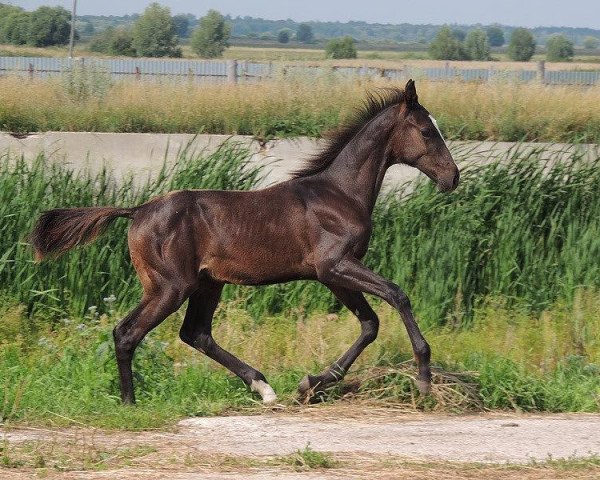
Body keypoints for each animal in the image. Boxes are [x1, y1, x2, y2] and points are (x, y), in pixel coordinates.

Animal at [29, 79, 460, 404]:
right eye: (427, 131)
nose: (453, 177)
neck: (339, 194)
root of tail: (137, 211)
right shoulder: (334, 266)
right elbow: (397, 295)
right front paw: (424, 377)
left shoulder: (333, 275)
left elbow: (369, 324)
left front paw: (311, 384)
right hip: (170, 286)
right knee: (127, 333)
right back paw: (130, 402)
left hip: (207, 284)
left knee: (195, 333)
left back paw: (263, 387)